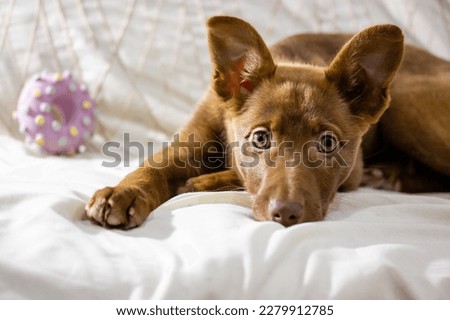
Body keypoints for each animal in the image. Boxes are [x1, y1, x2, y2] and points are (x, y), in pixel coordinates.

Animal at [85, 16, 450, 229]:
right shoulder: (191, 138)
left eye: (327, 143)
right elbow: (154, 165)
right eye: (260, 139)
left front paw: (203, 182)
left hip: (406, 104)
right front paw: (123, 192)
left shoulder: (353, 171)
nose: (286, 214)